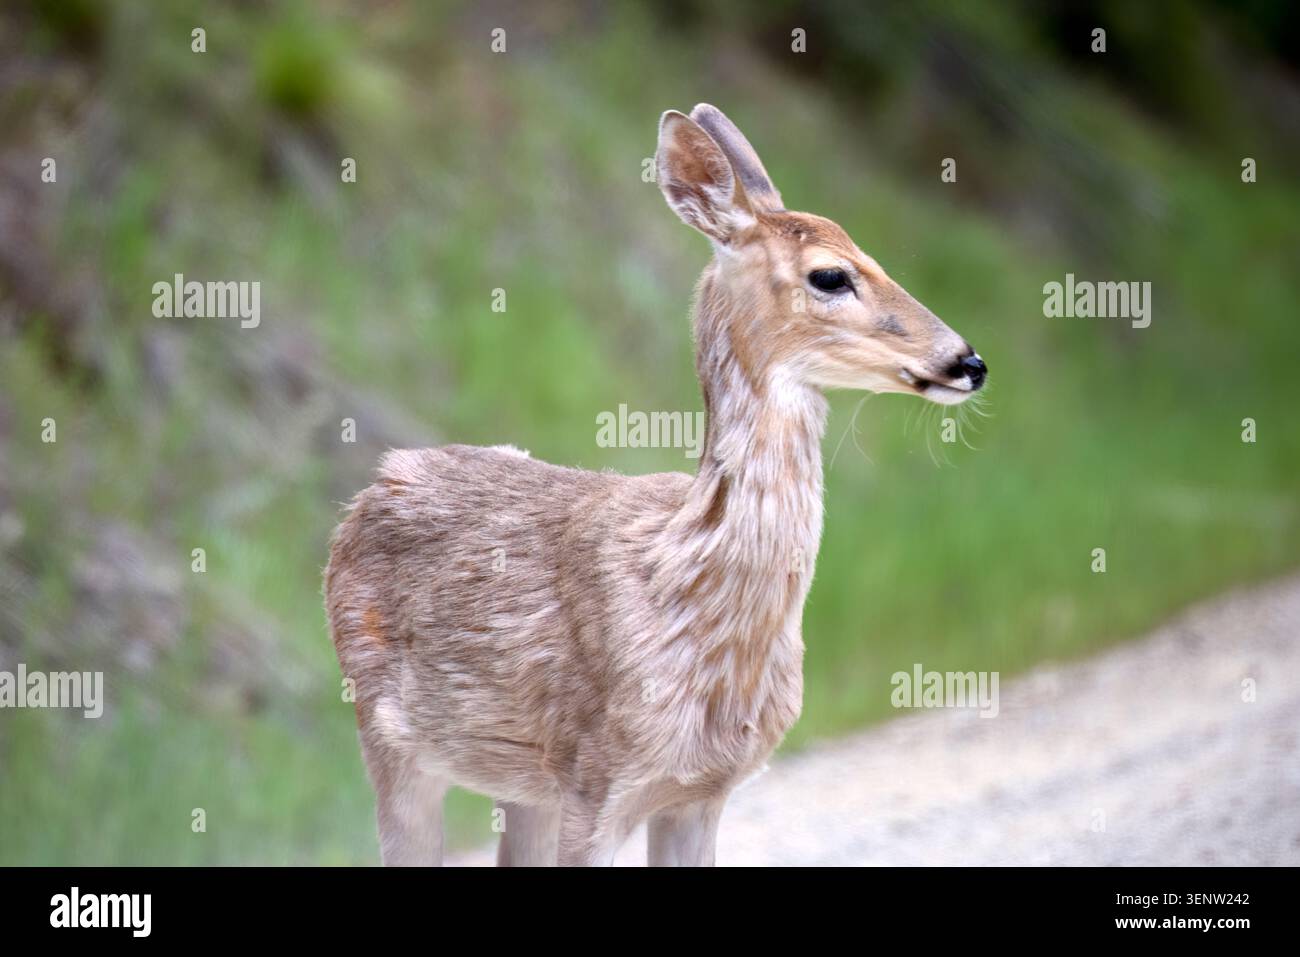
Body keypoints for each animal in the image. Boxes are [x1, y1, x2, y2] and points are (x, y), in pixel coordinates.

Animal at [324, 104, 987, 867]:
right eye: (830, 275)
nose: (967, 360)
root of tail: (375, 487)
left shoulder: (702, 789)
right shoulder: (597, 779)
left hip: (521, 783)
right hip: (390, 736)